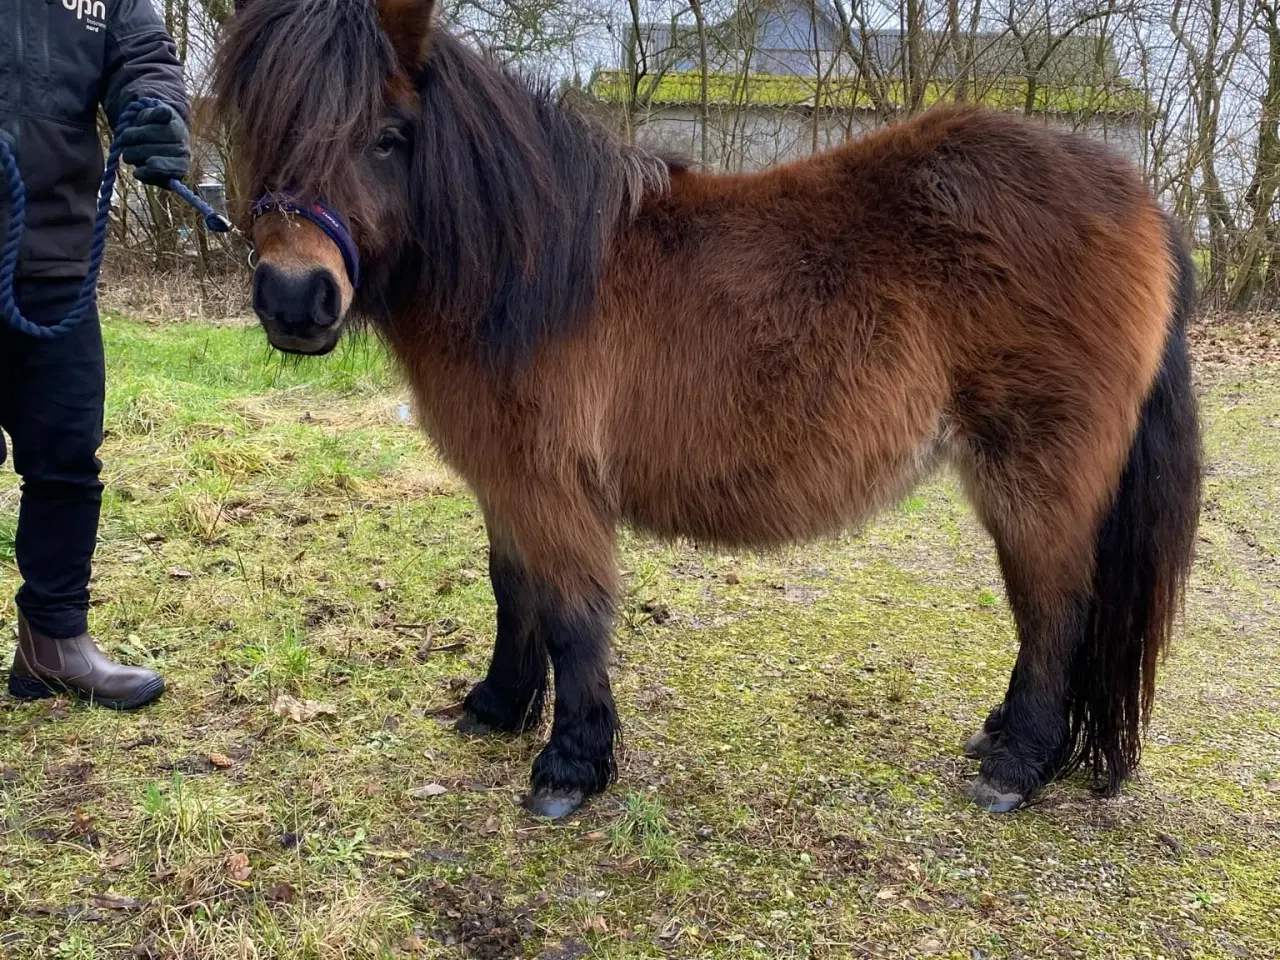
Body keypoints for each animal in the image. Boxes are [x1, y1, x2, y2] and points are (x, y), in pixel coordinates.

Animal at [209, 0, 1198, 819]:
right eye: (260, 125)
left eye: (387, 136)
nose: (295, 299)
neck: (529, 271)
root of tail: (1137, 198)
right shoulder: (505, 481)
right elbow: (511, 589)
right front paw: (498, 707)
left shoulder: (551, 485)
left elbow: (571, 615)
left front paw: (570, 768)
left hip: (1034, 476)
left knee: (1057, 610)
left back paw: (1017, 768)